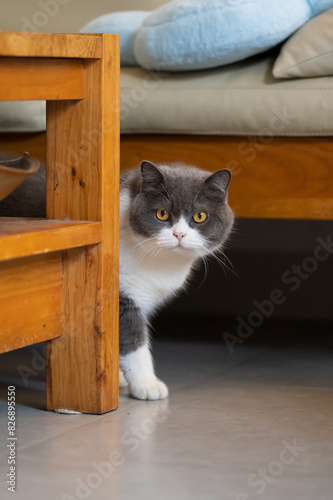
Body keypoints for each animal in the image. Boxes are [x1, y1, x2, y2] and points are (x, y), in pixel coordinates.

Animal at [0, 158, 233, 400]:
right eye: (162, 214)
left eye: (200, 216)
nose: (179, 234)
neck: (163, 262)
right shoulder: (121, 295)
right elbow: (133, 339)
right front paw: (146, 384)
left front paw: (116, 376)